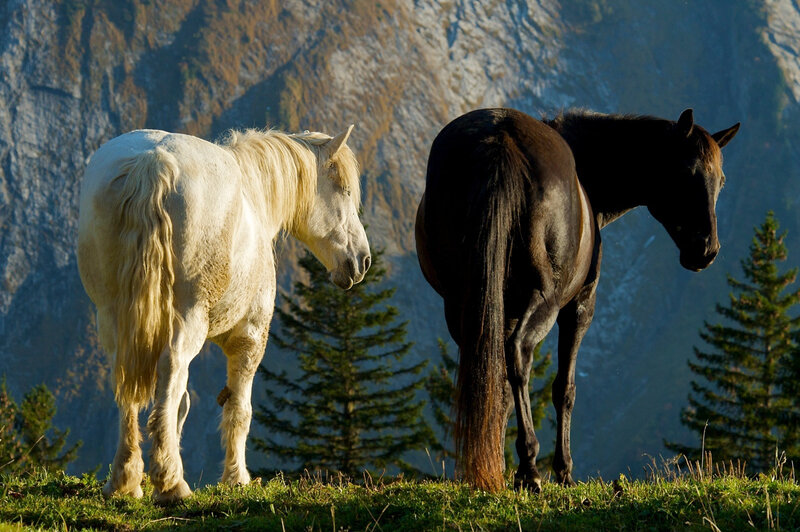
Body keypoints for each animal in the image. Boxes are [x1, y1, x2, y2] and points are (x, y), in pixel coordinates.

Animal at [77, 125, 370, 504]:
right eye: (345, 192)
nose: (362, 260)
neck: (255, 198)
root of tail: (152, 163)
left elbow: (179, 403)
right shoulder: (249, 338)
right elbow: (237, 409)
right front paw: (236, 479)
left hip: (114, 317)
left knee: (127, 380)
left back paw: (125, 481)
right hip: (187, 320)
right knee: (171, 368)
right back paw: (172, 483)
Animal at [415, 107, 740, 492]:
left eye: (721, 182)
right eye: (686, 174)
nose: (706, 250)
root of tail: (500, 139)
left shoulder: (499, 310)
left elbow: (500, 388)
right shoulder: (579, 308)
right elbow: (564, 389)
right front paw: (563, 470)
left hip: (463, 303)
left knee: (487, 370)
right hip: (544, 302)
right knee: (520, 354)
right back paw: (530, 466)